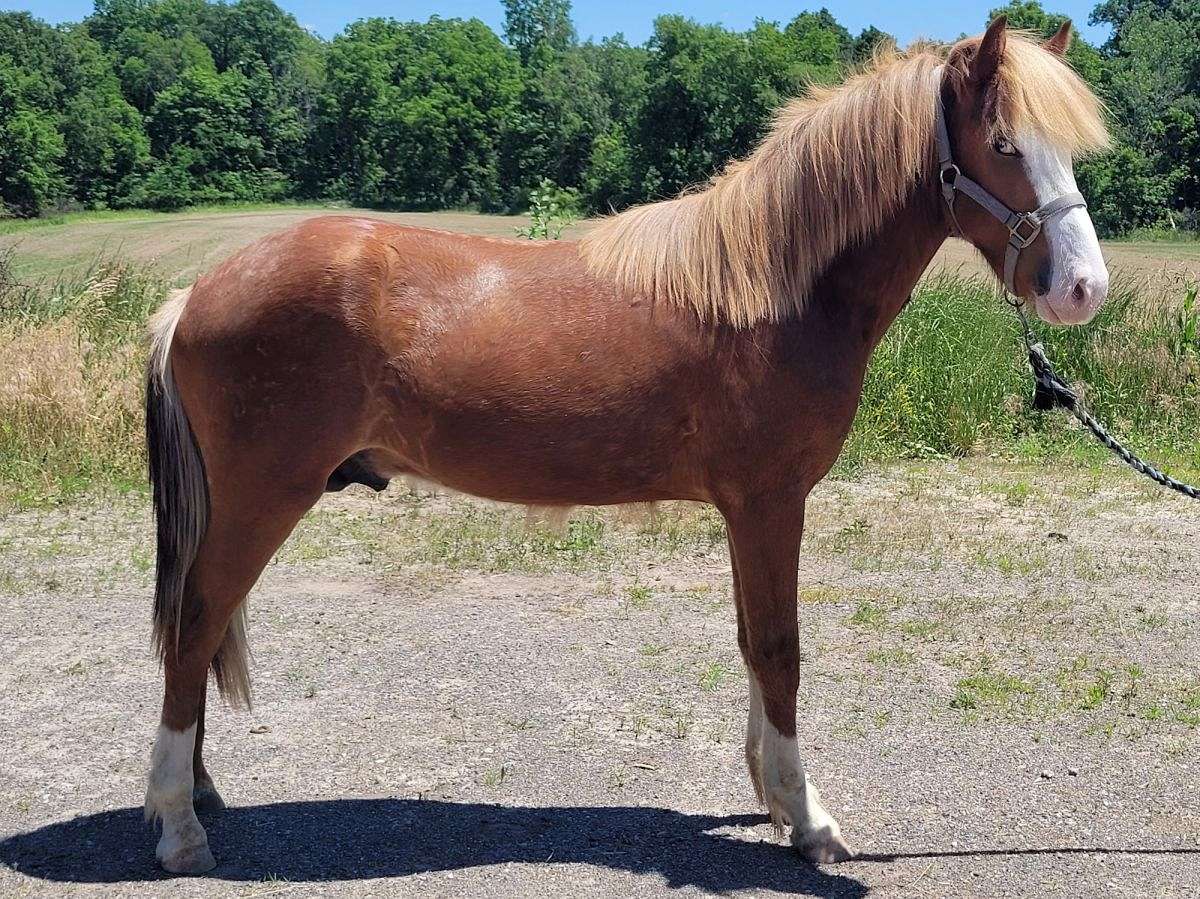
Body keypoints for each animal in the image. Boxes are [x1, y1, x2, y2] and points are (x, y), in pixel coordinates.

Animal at [145, 17, 1108, 873]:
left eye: (1068, 151)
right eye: (1002, 143)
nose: (1083, 289)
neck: (775, 288)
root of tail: (196, 293)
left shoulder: (747, 511)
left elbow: (750, 639)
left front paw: (769, 795)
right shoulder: (770, 502)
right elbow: (779, 649)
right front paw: (808, 821)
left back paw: (199, 794)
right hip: (262, 499)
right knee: (194, 627)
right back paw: (178, 828)